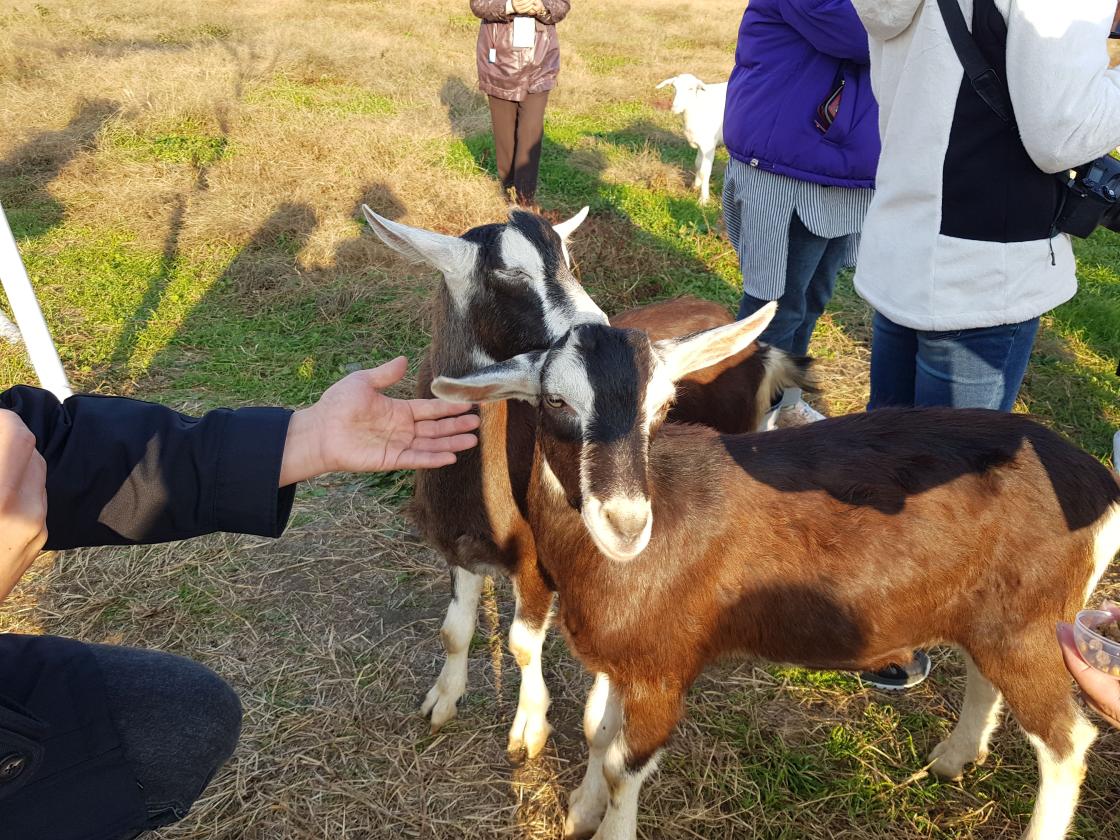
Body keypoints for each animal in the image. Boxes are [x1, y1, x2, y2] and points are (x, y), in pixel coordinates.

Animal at [362, 209, 810, 757]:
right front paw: (443, 701)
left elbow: (521, 644)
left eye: (569, 262)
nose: (600, 331)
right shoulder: (460, 548)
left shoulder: (535, 563)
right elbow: (454, 629)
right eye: (509, 275)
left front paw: (530, 729)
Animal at [432, 306, 1120, 840]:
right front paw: (579, 811)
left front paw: (606, 822)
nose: (626, 523)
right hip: (998, 617)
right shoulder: (616, 655)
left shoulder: (663, 666)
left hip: (1033, 626)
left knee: (1067, 743)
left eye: (664, 405)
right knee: (987, 678)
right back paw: (955, 756)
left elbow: (623, 763)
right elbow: (596, 733)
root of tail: (1101, 488)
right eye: (555, 401)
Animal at [654, 75, 725, 207]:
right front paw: (695, 185)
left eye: (691, 89)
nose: (675, 108)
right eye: (674, 87)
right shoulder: (700, 143)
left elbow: (705, 171)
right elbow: (697, 164)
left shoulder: (709, 146)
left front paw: (703, 199)